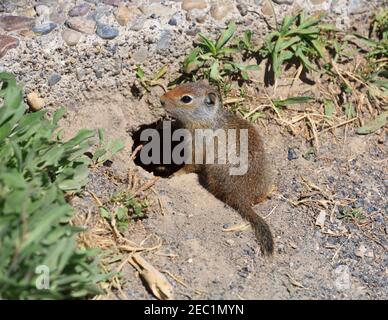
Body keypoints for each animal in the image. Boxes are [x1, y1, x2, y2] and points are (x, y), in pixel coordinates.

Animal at [159, 80, 274, 255]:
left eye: (186, 98)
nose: (161, 100)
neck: (209, 120)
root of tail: (243, 198)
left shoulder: (196, 147)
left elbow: (190, 166)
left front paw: (175, 174)